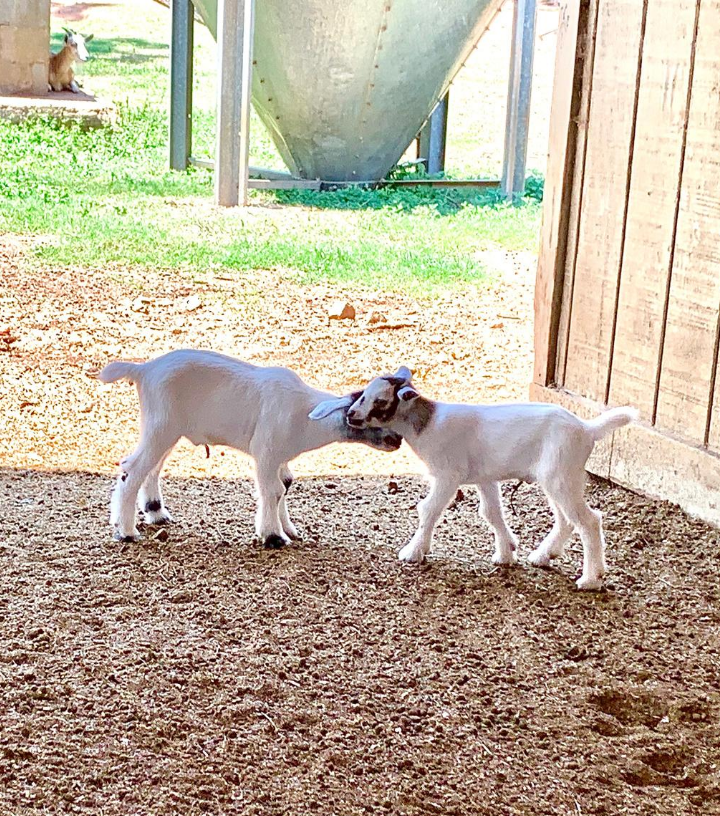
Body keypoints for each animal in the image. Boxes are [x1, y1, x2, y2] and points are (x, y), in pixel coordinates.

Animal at [93, 350, 402, 548]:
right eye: (370, 412)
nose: (397, 440)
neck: (304, 416)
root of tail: (143, 370)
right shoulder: (265, 452)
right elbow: (273, 490)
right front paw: (274, 537)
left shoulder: (280, 459)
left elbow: (285, 485)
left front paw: (289, 530)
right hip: (162, 425)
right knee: (132, 469)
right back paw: (126, 532)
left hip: (168, 430)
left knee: (152, 469)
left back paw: (155, 514)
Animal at [312, 366, 640, 588]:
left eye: (380, 401)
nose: (351, 415)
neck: (426, 425)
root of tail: (587, 429)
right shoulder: (485, 478)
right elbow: (492, 513)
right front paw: (506, 553)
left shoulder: (448, 475)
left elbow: (428, 509)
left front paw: (414, 551)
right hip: (559, 478)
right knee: (566, 520)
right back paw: (543, 556)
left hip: (561, 477)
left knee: (589, 521)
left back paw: (591, 579)